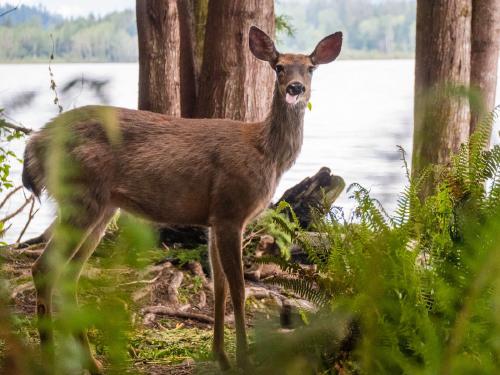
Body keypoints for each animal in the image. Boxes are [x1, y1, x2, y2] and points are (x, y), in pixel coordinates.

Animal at [21, 25, 342, 374]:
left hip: (102, 207)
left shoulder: (215, 217)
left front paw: (222, 356)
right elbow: (239, 288)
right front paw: (244, 359)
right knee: (43, 268)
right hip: (81, 196)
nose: (296, 88)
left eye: (310, 68)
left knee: (69, 276)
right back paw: (49, 359)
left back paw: (93, 364)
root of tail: (36, 143)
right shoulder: (231, 209)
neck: (266, 153)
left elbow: (219, 287)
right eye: (279, 67)